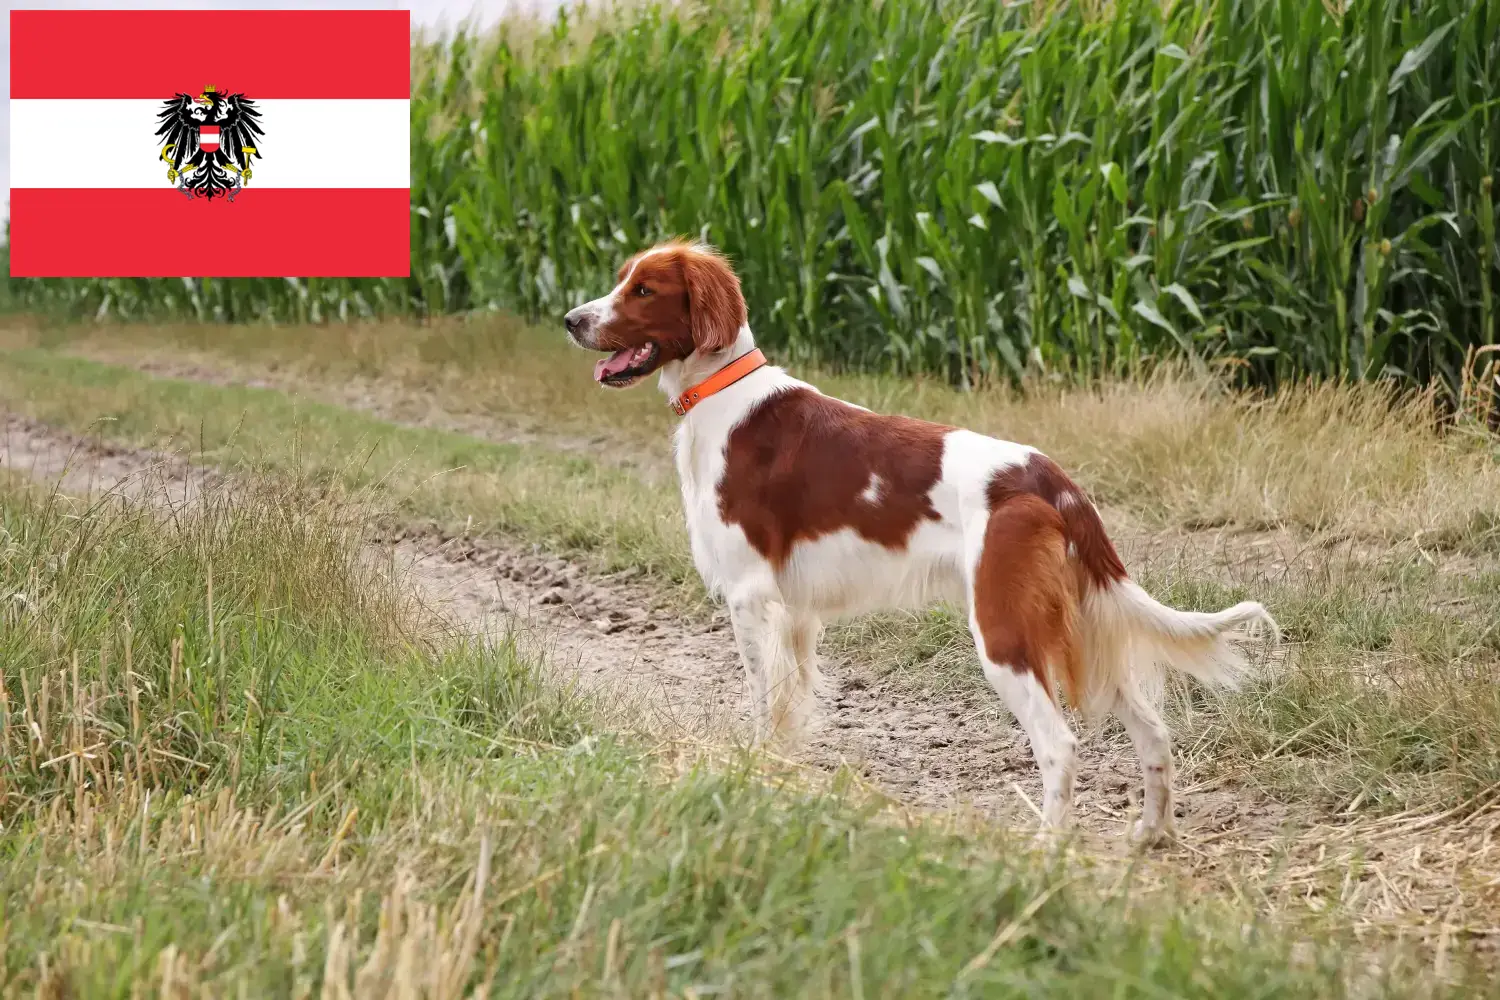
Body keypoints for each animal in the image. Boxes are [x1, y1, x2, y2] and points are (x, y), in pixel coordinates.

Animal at [564, 242, 1278, 845]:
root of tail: (1050, 481)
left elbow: (764, 701)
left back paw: (1047, 849)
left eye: (644, 289)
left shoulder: (749, 596)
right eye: (621, 280)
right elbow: (792, 704)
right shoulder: (793, 613)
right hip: (1079, 625)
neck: (724, 394)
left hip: (1004, 633)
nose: (571, 319)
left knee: (1060, 745)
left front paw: (754, 770)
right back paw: (1151, 836)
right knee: (1153, 731)